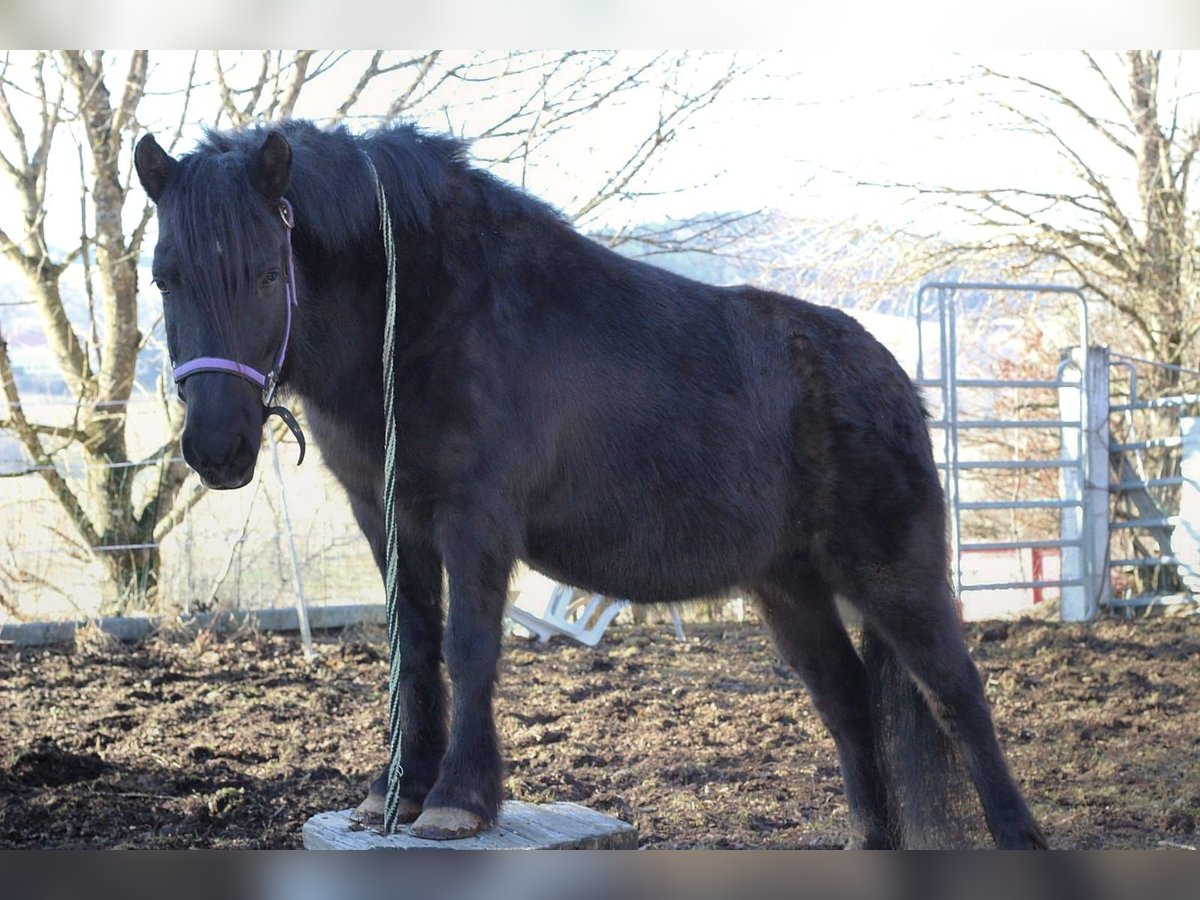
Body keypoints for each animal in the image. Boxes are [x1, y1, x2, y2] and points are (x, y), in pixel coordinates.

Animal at [136, 121, 1046, 854]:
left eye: (265, 273)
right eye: (165, 276)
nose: (216, 448)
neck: (428, 313)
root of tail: (892, 378)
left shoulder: (475, 518)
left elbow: (468, 648)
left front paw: (457, 802)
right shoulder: (385, 516)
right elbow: (414, 650)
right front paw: (396, 793)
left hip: (893, 572)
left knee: (956, 695)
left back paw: (1016, 836)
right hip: (789, 587)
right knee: (850, 701)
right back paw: (868, 840)